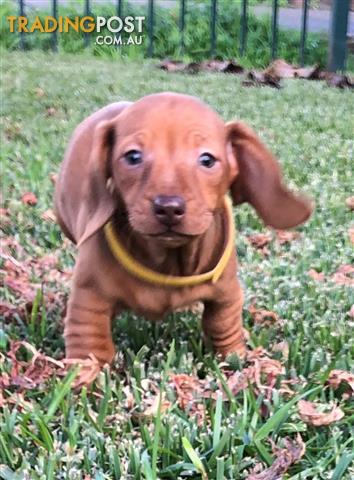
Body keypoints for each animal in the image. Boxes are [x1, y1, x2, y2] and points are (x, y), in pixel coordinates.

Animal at [54, 93, 312, 382]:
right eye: (133, 156)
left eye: (207, 160)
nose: (168, 207)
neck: (169, 259)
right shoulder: (89, 298)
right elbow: (89, 340)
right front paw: (86, 376)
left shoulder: (227, 293)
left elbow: (223, 325)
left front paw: (235, 359)